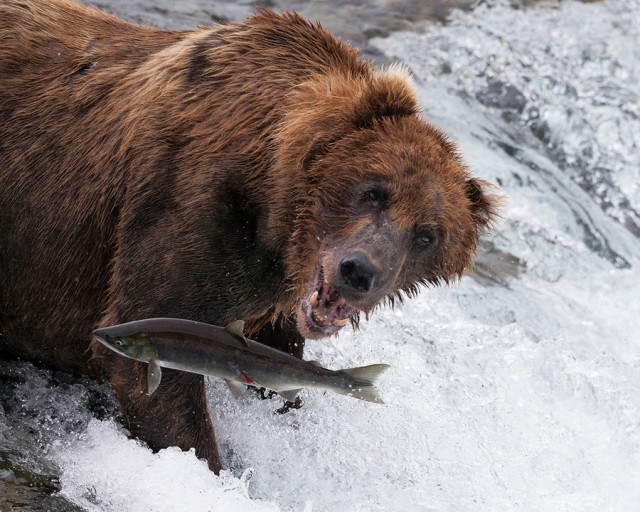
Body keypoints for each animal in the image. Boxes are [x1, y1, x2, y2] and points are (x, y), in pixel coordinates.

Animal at [0, 0, 498, 472]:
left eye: (428, 235)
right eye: (373, 192)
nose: (359, 271)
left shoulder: (269, 300)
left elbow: (282, 368)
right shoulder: (191, 209)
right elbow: (148, 368)